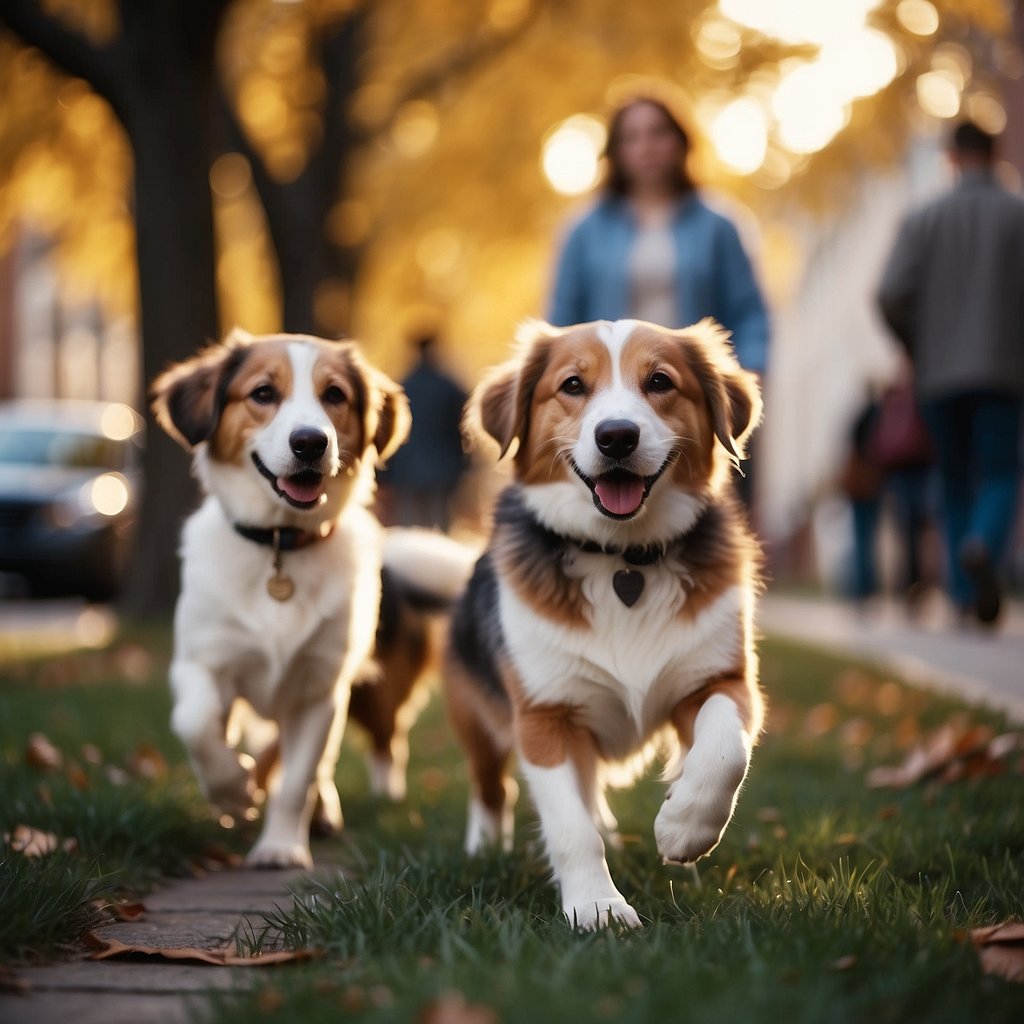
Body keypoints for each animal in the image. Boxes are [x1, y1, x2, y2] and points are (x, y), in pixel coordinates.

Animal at [151, 325, 471, 864]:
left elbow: (297, 779)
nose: (310, 442)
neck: (281, 546)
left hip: (373, 694)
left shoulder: (320, 688)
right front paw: (231, 792)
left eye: (334, 395)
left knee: (383, 744)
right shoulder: (202, 662)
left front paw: (281, 846)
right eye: (263, 393)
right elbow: (196, 723)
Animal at [444, 317, 765, 929]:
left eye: (660, 381)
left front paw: (684, 827)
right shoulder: (544, 717)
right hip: (476, 715)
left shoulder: (720, 680)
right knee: (490, 786)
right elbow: (571, 829)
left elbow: (724, 753)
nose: (617, 436)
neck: (623, 559)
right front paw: (597, 905)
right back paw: (483, 846)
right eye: (573, 385)